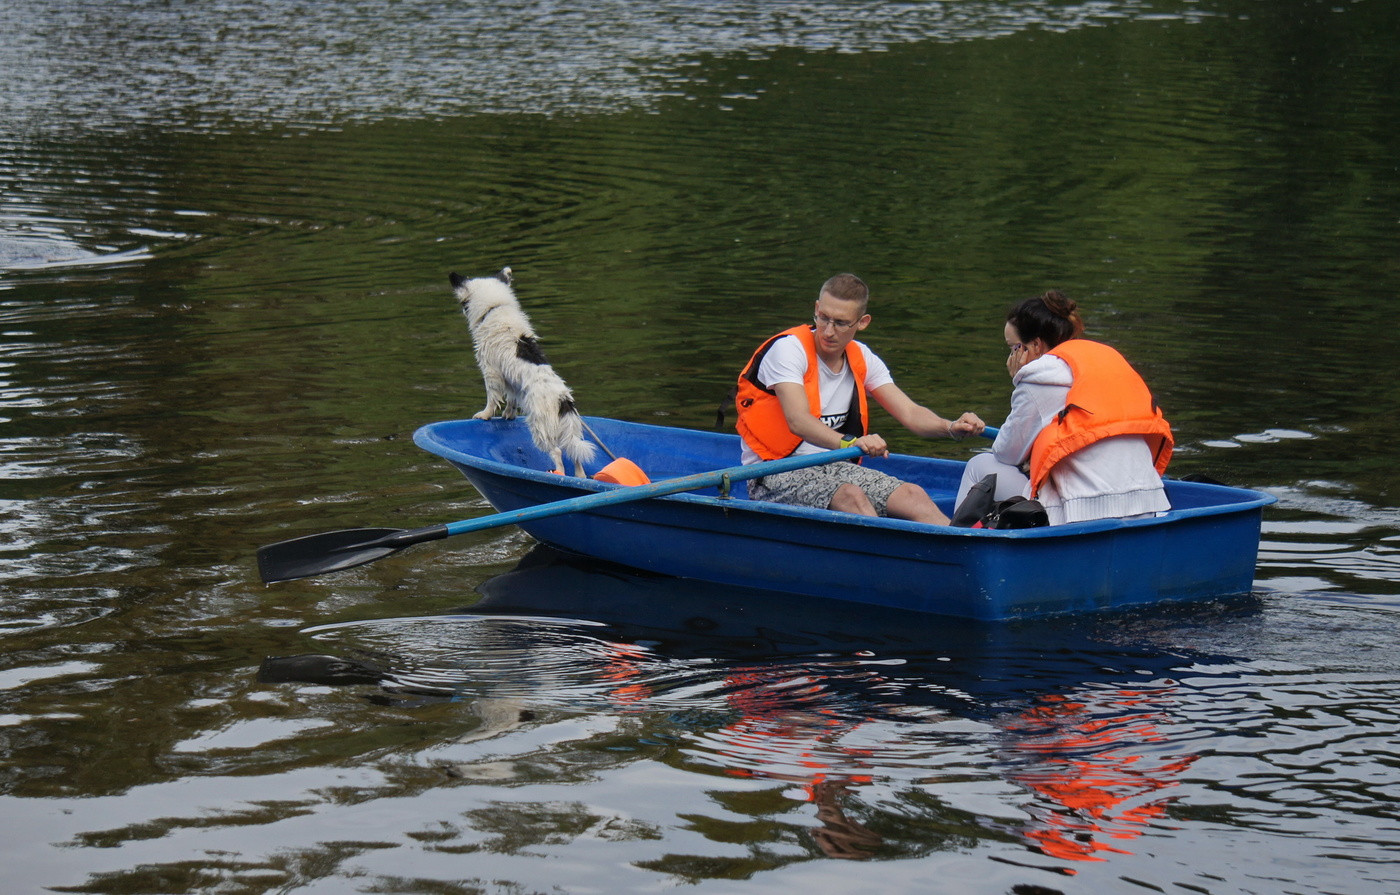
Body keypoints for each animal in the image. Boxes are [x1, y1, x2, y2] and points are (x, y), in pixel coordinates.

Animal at [450, 267, 593, 479]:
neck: (495, 308)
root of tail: (563, 400)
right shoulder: (511, 381)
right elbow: (511, 399)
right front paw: (509, 415)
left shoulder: (491, 371)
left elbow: (492, 398)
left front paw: (485, 415)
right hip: (570, 429)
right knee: (575, 454)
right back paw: (579, 477)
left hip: (540, 428)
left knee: (557, 452)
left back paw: (557, 473)